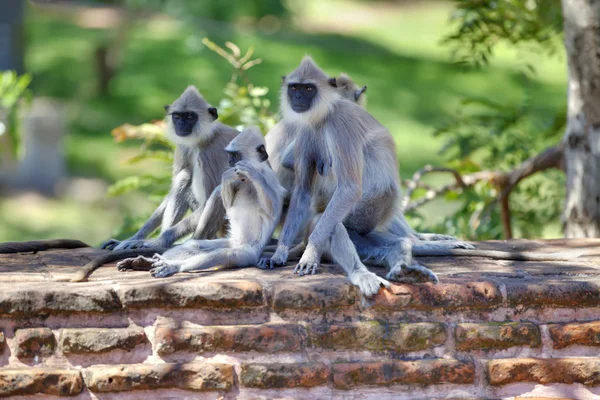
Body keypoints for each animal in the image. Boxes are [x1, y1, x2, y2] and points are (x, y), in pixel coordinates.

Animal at [100, 86, 237, 252]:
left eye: (190, 116)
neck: (203, 139)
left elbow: (210, 197)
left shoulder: (211, 153)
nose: (181, 125)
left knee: (217, 191)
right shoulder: (184, 147)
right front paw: (134, 238)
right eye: (177, 116)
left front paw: (157, 241)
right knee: (185, 175)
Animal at [118, 125, 288, 278]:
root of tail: (236, 242)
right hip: (226, 240)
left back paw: (173, 266)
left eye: (235, 155)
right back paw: (146, 262)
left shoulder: (270, 178)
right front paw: (227, 176)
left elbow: (272, 209)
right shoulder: (237, 179)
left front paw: (253, 174)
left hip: (247, 253)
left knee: (225, 254)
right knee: (194, 246)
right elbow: (229, 204)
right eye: (231, 155)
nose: (229, 161)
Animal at [258, 56, 580, 296]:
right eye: (296, 88)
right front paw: (288, 253)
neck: (322, 116)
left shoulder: (337, 123)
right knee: (333, 223)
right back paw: (367, 270)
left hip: (365, 220)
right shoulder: (313, 128)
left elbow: (337, 188)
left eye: (307, 89)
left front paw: (296, 253)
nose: (298, 98)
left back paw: (409, 262)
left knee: (389, 239)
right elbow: (309, 186)